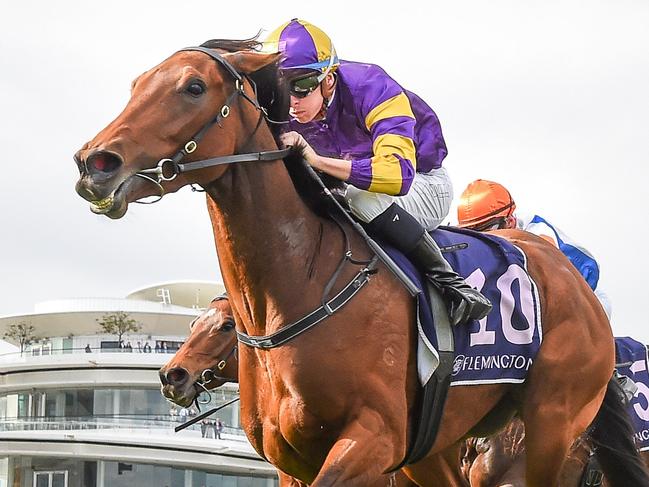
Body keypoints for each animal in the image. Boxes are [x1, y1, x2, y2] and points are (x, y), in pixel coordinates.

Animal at [72, 39, 648, 487]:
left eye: (193, 87)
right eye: (136, 84)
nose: (94, 164)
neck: (300, 286)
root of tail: (574, 282)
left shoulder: (374, 438)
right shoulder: (294, 461)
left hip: (552, 423)